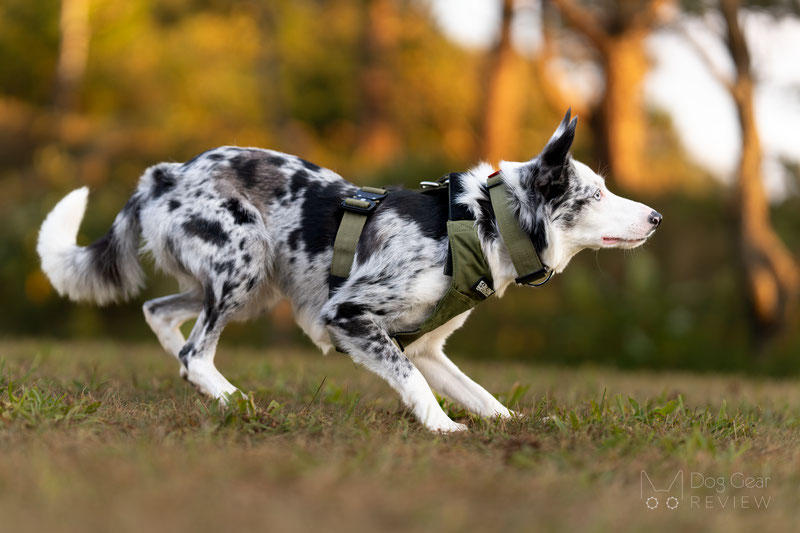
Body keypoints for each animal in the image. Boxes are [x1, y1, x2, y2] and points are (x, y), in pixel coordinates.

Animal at [37, 112, 660, 432]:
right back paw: (234, 400)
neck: (478, 223)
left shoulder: (427, 347)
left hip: (251, 285)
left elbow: (480, 394)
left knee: (160, 314)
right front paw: (443, 430)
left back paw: (206, 388)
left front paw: (510, 422)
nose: (656, 217)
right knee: (196, 349)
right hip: (245, 260)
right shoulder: (351, 316)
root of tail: (164, 175)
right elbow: (416, 387)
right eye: (596, 194)